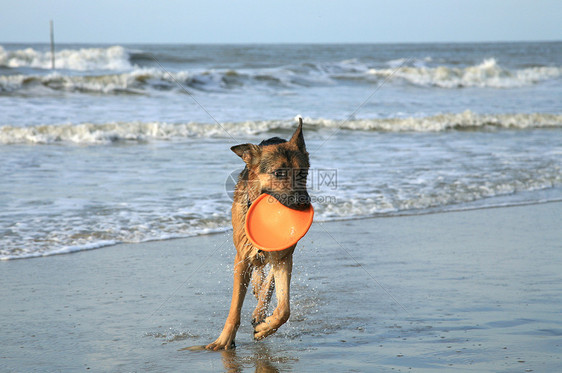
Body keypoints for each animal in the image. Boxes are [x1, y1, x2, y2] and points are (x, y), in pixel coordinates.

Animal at [206, 117, 310, 348]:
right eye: (279, 173)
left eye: (303, 173)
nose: (305, 204)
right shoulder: (241, 259)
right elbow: (235, 306)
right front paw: (224, 340)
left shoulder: (283, 257)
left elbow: (284, 308)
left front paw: (265, 327)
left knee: (268, 279)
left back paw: (260, 309)